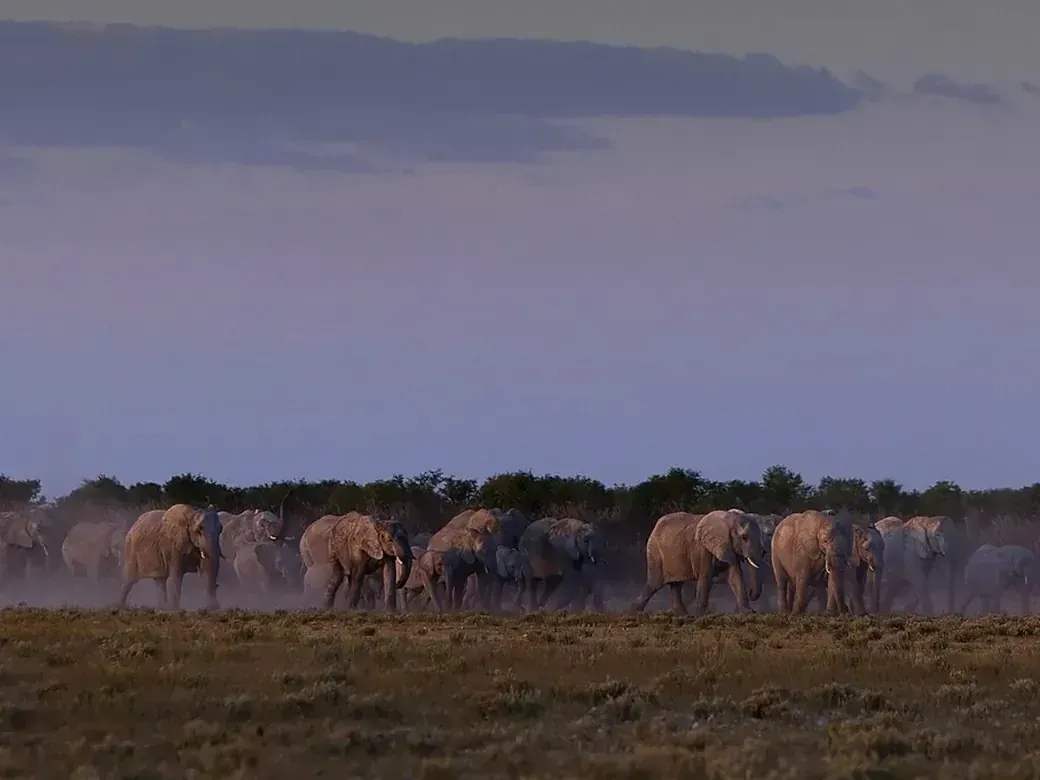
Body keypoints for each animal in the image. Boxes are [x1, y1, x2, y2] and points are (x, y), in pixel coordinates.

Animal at [630, 509, 766, 616]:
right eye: (744, 537)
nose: (751, 592)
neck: (727, 519)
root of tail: (655, 527)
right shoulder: (702, 549)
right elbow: (705, 578)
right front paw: (703, 615)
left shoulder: (728, 548)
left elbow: (735, 576)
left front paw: (749, 613)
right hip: (654, 552)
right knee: (654, 584)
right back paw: (633, 613)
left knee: (676, 585)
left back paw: (684, 616)